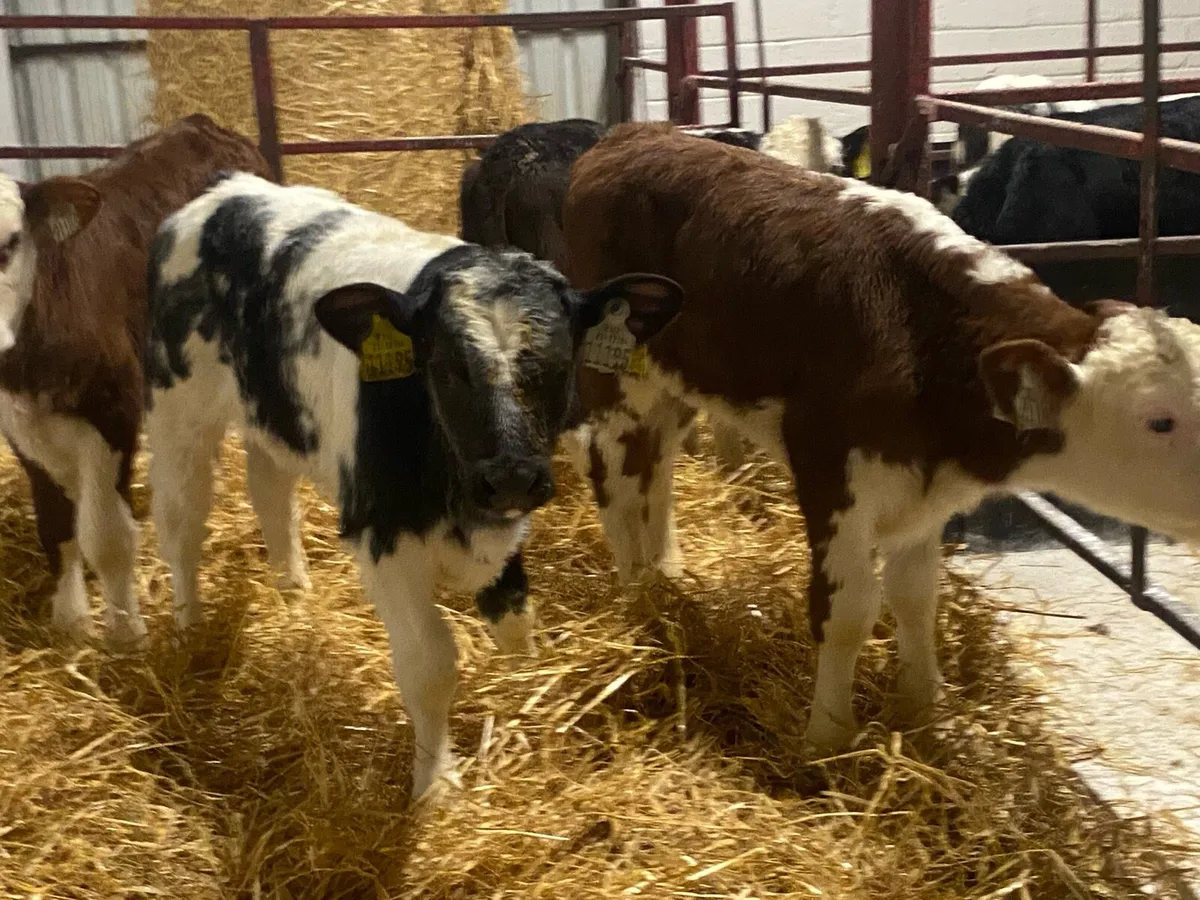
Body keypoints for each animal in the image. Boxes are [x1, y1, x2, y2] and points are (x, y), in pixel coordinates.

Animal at [0, 114, 270, 646]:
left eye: (11, 241)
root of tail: (199, 124)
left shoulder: (113, 409)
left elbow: (105, 535)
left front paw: (126, 632)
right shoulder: (19, 427)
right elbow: (55, 525)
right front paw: (72, 622)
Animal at [143, 171, 682, 798]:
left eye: (559, 365)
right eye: (446, 368)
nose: (511, 477)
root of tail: (229, 190)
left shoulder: (503, 525)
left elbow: (515, 616)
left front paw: (526, 684)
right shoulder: (383, 535)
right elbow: (430, 664)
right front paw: (436, 787)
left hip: (272, 416)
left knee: (270, 492)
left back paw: (293, 593)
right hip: (178, 411)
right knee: (181, 522)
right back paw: (190, 632)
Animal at [560, 122, 1200, 753]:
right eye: (1159, 420)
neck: (924, 332)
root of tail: (633, 133)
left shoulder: (922, 492)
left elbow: (915, 596)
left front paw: (922, 712)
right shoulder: (829, 467)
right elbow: (848, 609)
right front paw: (827, 741)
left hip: (678, 383)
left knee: (657, 465)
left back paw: (666, 572)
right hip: (614, 378)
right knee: (615, 477)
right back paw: (638, 602)